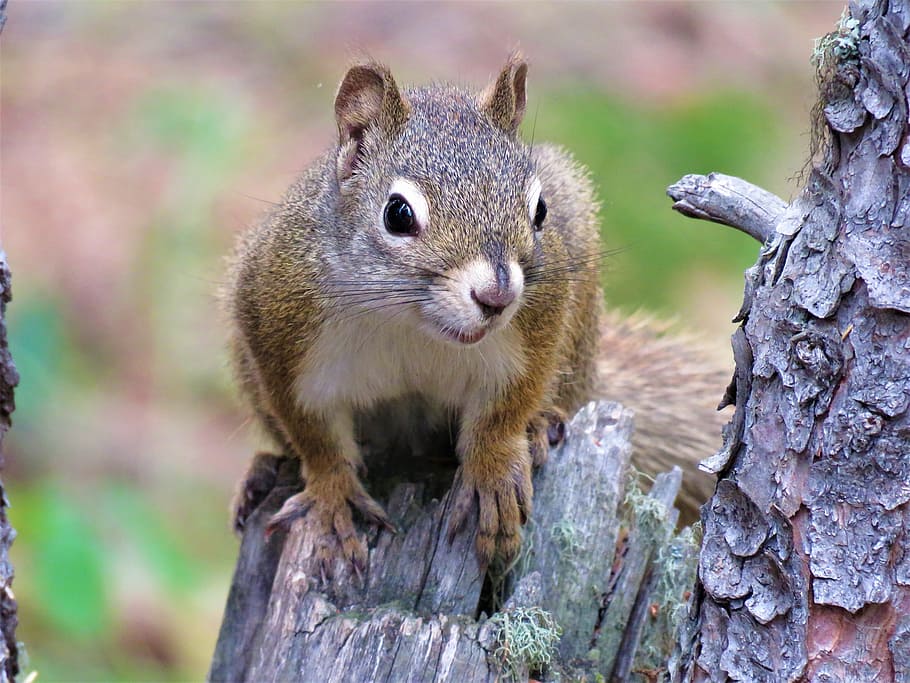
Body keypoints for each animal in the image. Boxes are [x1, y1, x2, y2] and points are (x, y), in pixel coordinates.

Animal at [225, 56, 727, 574]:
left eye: (540, 210)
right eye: (397, 214)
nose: (497, 297)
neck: (409, 324)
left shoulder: (536, 330)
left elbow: (504, 411)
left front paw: (493, 473)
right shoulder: (279, 333)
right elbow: (315, 438)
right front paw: (332, 498)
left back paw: (541, 422)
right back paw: (264, 473)